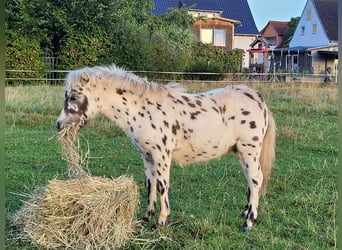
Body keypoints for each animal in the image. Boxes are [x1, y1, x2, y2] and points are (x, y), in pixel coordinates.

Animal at [56, 65, 276, 232]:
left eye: (73, 97)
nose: (58, 125)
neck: (143, 111)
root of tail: (258, 99)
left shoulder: (161, 155)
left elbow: (162, 186)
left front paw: (162, 221)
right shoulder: (147, 156)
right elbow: (150, 184)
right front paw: (147, 217)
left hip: (249, 151)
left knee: (256, 180)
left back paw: (248, 223)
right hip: (239, 152)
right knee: (251, 182)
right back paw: (245, 213)